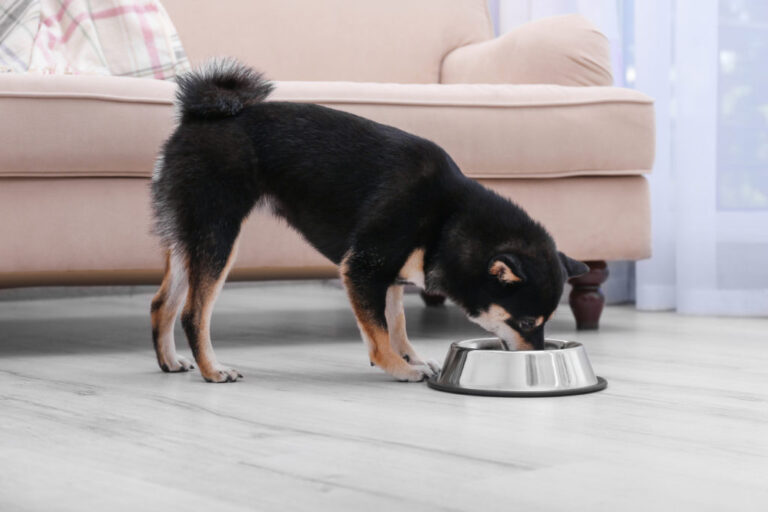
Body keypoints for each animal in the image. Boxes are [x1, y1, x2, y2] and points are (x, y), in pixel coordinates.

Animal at [153, 58, 592, 382]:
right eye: (525, 321)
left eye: (544, 322)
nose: (538, 353)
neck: (447, 214)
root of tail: (197, 117)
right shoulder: (363, 268)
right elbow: (378, 333)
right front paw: (399, 368)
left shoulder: (391, 273)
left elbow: (395, 322)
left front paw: (411, 358)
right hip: (219, 233)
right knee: (193, 313)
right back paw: (213, 370)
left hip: (189, 237)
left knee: (163, 303)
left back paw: (170, 362)